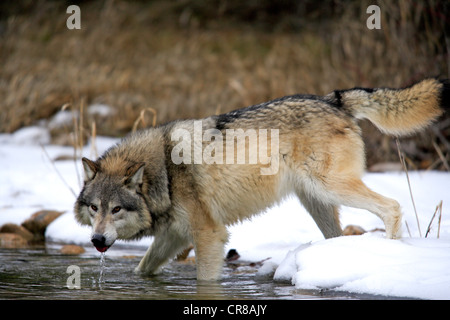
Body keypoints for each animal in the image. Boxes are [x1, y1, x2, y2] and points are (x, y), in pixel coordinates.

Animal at [75, 77, 448, 280]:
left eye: (116, 210)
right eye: (94, 208)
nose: (96, 240)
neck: (164, 171)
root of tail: (333, 99)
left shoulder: (209, 235)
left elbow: (205, 280)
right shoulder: (175, 236)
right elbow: (143, 269)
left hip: (331, 188)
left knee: (392, 206)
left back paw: (392, 253)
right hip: (318, 201)